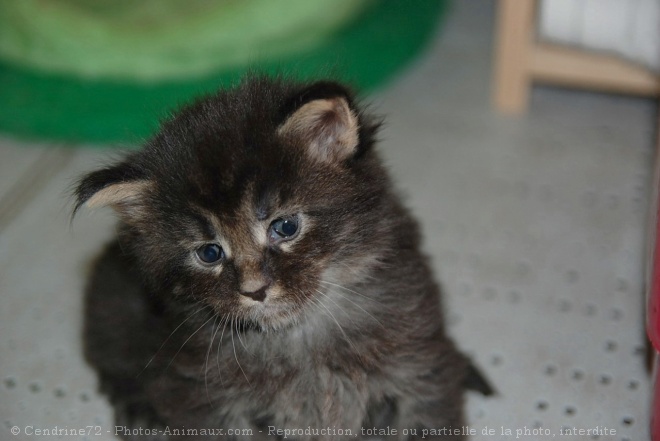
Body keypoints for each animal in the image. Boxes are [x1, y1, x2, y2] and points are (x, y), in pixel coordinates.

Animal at [76, 76, 490, 440]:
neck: (298, 339)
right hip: (112, 301)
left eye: (285, 227)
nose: (255, 290)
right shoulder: (197, 392)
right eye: (209, 252)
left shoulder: (420, 363)